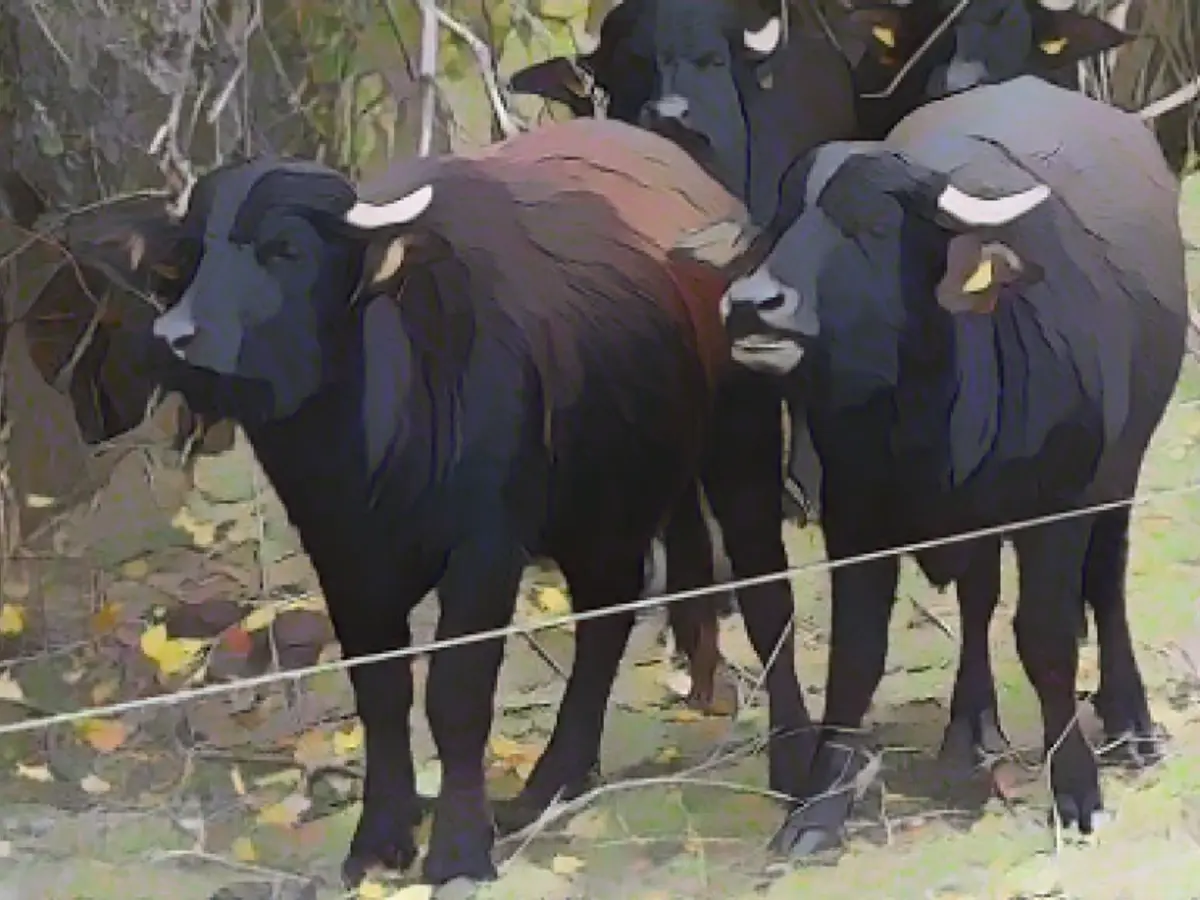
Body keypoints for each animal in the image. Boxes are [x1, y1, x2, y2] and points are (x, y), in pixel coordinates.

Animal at [80, 117, 821, 886]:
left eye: (287, 249)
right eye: (191, 256)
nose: (177, 339)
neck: (372, 439)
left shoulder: (485, 549)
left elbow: (456, 694)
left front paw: (459, 850)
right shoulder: (342, 552)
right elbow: (380, 692)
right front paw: (379, 838)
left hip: (739, 443)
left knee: (766, 596)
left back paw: (794, 761)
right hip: (600, 502)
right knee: (608, 608)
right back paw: (552, 780)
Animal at [671, 74, 1187, 852]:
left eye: (874, 225)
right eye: (778, 225)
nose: (753, 305)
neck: (929, 422)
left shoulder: (1060, 504)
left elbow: (1047, 638)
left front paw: (1077, 789)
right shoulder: (856, 516)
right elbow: (856, 654)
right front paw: (817, 811)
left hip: (1118, 473)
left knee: (1105, 582)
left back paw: (1131, 725)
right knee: (978, 595)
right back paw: (971, 727)